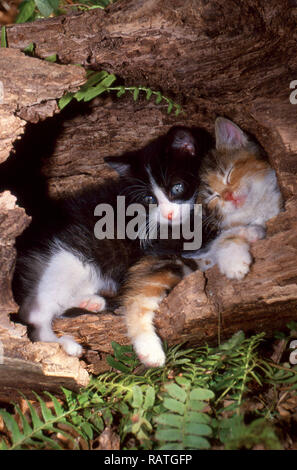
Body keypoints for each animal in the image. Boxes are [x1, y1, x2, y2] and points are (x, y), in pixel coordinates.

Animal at [13, 127, 204, 368]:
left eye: (177, 187)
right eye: (149, 198)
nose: (169, 214)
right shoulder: (154, 252)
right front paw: (150, 349)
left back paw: (90, 301)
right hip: (68, 257)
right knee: (33, 313)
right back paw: (65, 344)